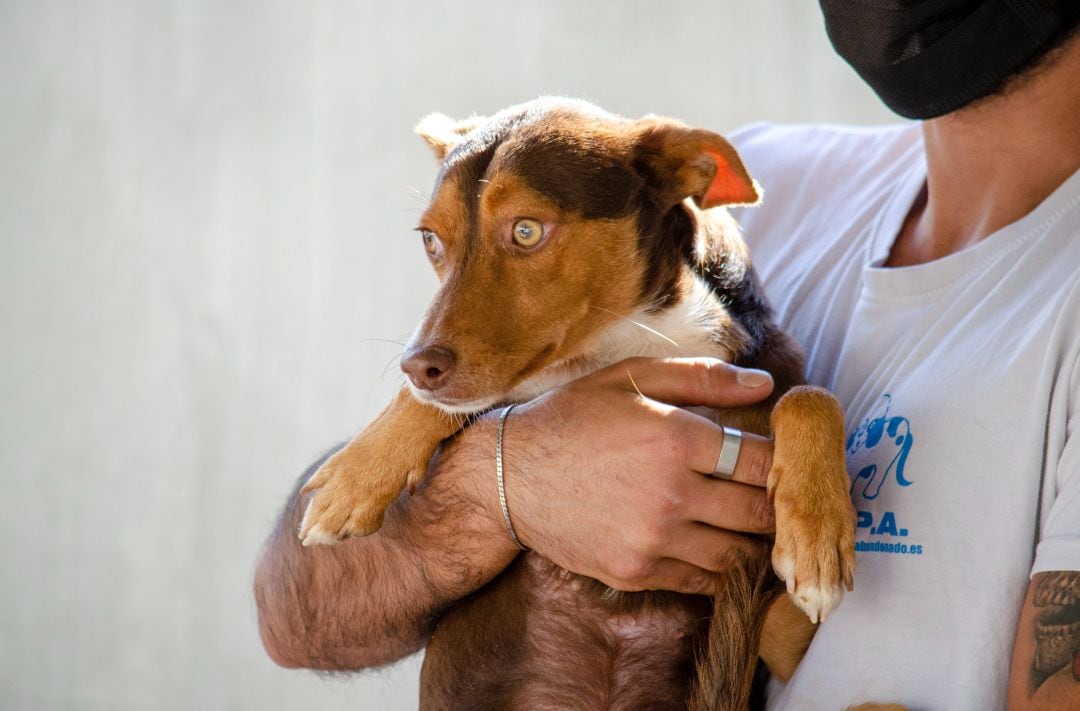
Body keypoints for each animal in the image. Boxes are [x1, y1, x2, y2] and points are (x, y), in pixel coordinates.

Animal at [295, 96, 851, 704]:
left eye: (527, 230)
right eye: (430, 240)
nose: (417, 366)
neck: (637, 337)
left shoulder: (778, 631)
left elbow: (808, 394)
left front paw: (817, 536)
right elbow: (453, 402)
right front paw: (356, 476)